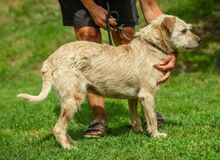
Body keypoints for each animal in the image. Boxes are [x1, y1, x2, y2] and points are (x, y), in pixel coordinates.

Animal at [17, 15, 200, 149]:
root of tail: (51, 59)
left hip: (67, 99)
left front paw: (138, 131)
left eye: (188, 29)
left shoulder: (135, 96)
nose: (200, 40)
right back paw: (68, 148)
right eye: (184, 31)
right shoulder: (146, 95)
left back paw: (72, 142)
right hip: (74, 98)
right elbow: (152, 118)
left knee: (62, 125)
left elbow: (135, 116)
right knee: (58, 128)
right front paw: (155, 135)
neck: (152, 46)